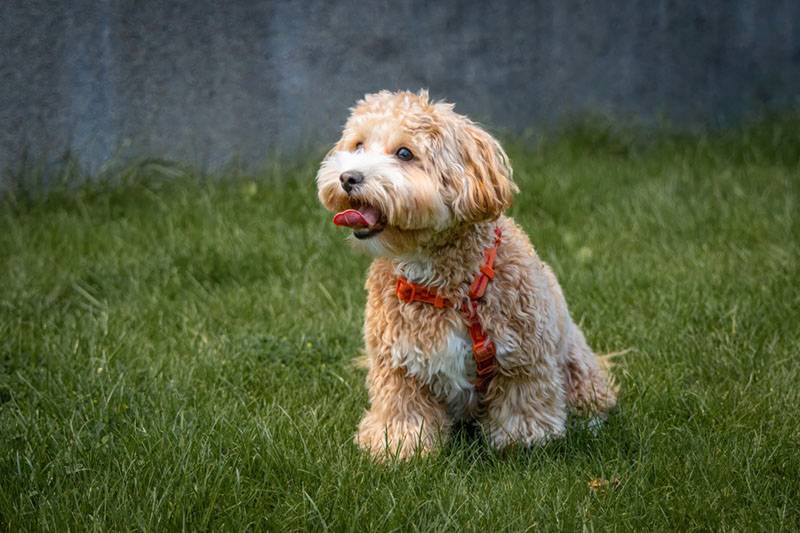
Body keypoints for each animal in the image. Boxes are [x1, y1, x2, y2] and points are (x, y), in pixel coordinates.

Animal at [316, 90, 616, 458]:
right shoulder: (398, 364)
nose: (348, 177)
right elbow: (402, 408)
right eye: (358, 145)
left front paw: (524, 441)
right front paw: (398, 446)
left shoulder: (524, 357)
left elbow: (523, 401)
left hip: (576, 362)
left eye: (404, 153)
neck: (446, 287)